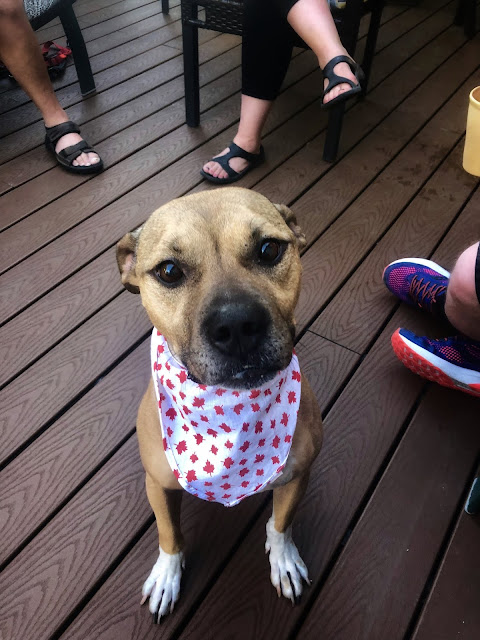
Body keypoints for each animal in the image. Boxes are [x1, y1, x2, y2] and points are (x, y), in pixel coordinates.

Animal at [116, 187, 323, 620]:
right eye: (169, 271)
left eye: (269, 249)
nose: (237, 325)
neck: (229, 412)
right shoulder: (157, 483)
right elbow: (169, 533)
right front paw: (167, 574)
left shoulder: (298, 474)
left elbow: (281, 523)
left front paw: (283, 558)